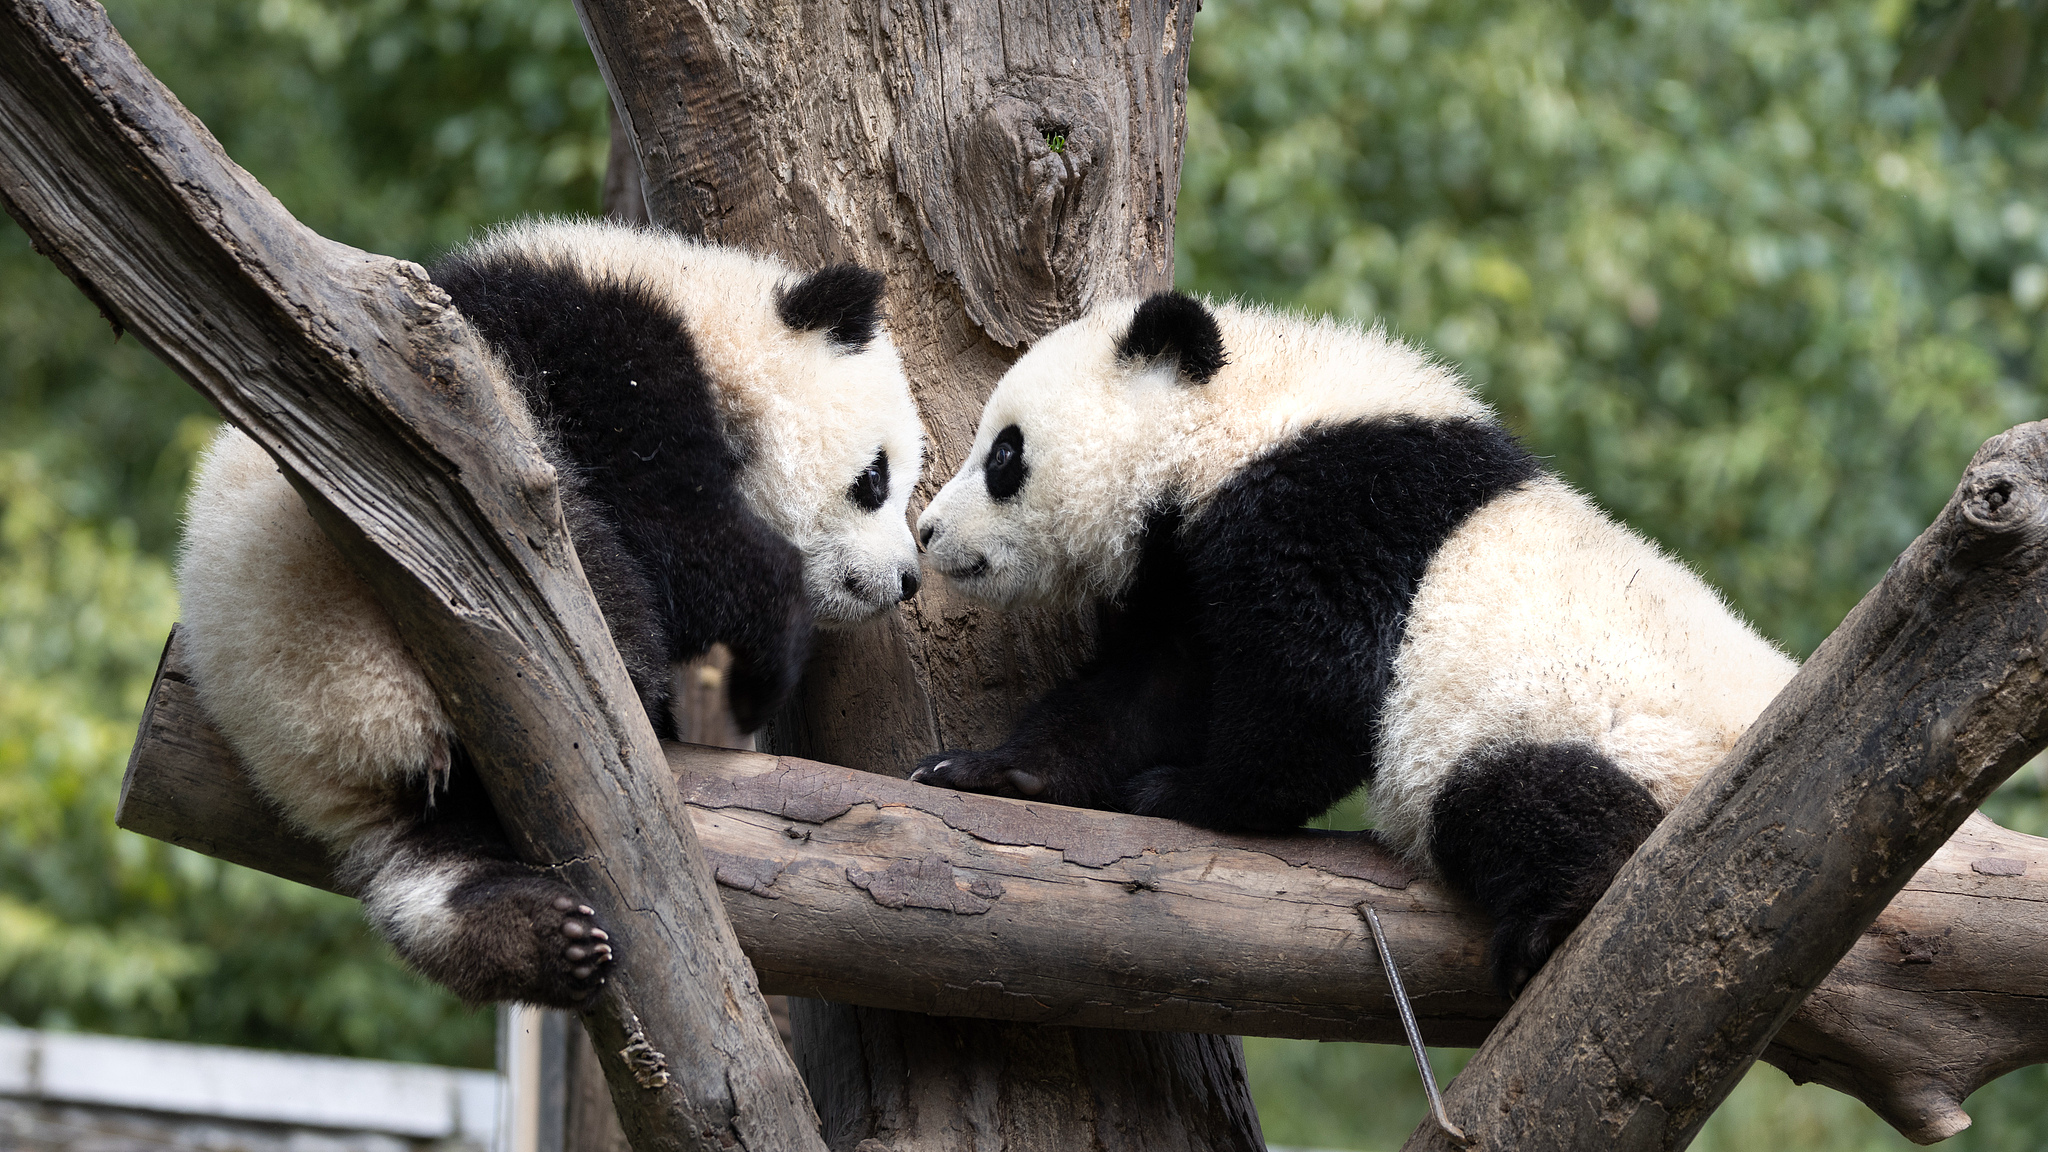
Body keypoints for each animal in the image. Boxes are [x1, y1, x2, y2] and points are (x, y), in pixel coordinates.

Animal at [177, 218, 924, 1009]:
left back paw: (525, 936)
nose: (907, 580)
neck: (704, 306)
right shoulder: (592, 352)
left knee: (426, 851)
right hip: (372, 594)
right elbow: (672, 527)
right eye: (875, 479)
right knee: (593, 575)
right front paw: (763, 670)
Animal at [911, 291, 1796, 996]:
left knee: (1533, 797)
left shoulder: (1332, 506)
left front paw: (1188, 792)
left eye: (1004, 454)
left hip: (1616, 732)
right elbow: (1150, 692)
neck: (1242, 416)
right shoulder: (1192, 568)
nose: (926, 532)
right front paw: (988, 771)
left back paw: (1556, 914)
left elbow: (1314, 691)